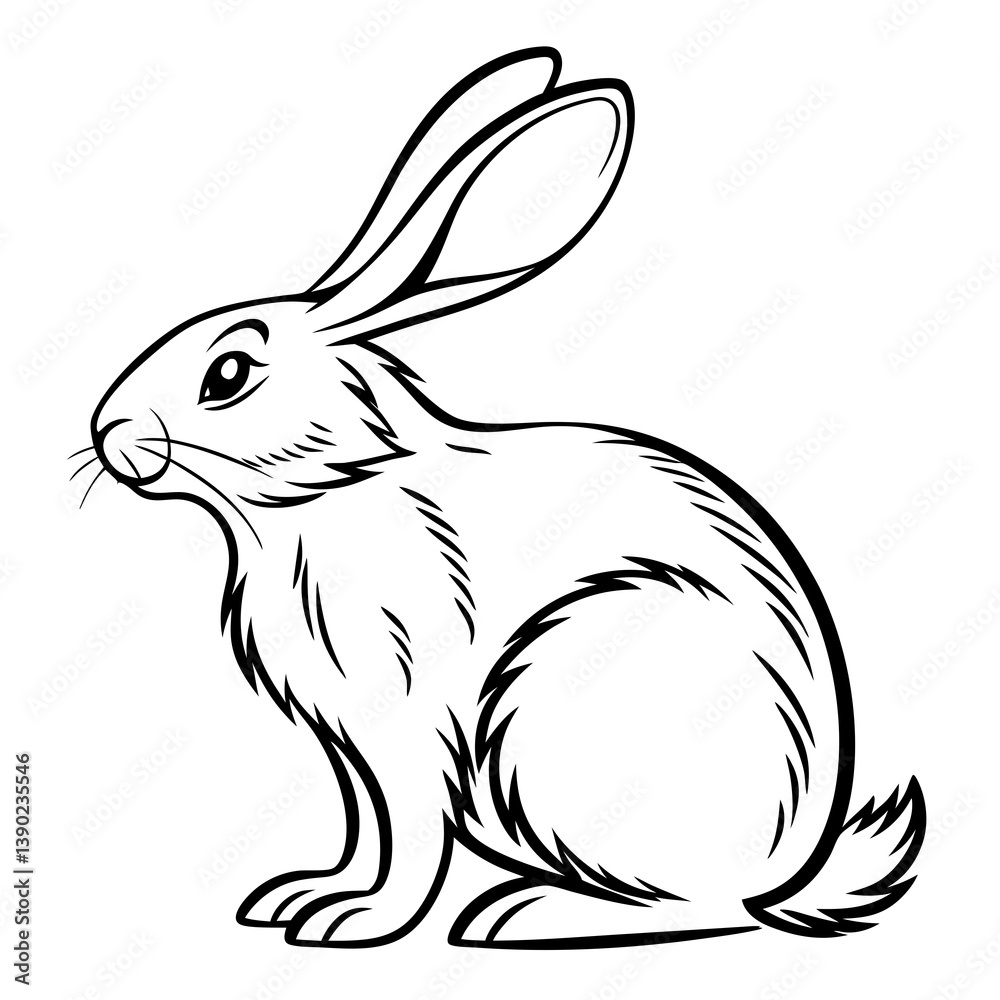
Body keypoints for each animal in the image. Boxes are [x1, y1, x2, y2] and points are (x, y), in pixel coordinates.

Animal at [79, 47, 924, 948]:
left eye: (229, 373)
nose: (107, 430)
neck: (333, 486)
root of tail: (793, 867)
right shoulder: (347, 742)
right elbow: (362, 825)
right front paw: (302, 898)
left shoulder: (409, 720)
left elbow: (409, 834)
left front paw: (359, 920)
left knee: (705, 908)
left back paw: (523, 914)